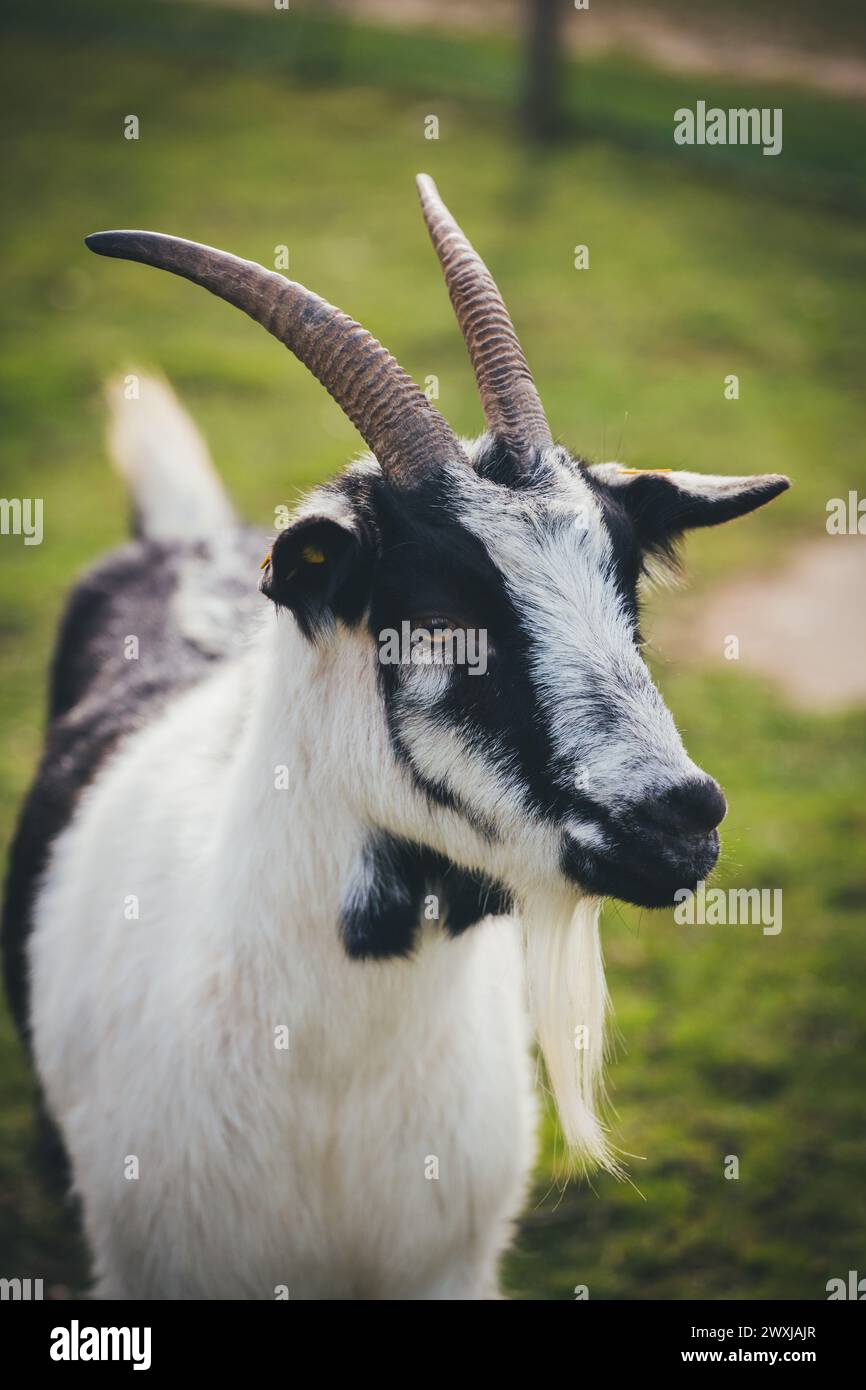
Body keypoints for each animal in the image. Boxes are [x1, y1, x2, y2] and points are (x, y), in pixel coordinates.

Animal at [0, 179, 789, 1295]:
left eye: (625, 588)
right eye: (441, 617)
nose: (680, 816)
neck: (328, 1079)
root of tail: (182, 534)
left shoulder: (446, 1264)